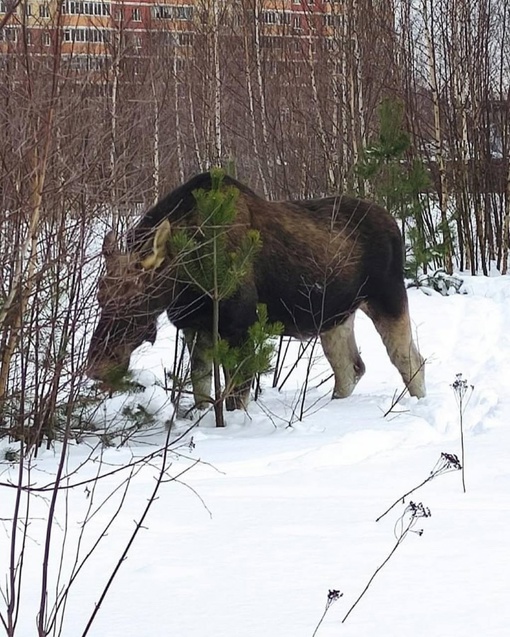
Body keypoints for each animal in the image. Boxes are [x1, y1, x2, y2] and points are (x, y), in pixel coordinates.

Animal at [87, 169, 426, 408]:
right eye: (101, 296)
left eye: (138, 298)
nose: (97, 366)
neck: (186, 280)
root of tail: (394, 224)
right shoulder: (196, 328)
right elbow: (202, 392)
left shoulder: (240, 328)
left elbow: (235, 398)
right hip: (335, 317)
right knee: (350, 369)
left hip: (387, 297)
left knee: (410, 362)